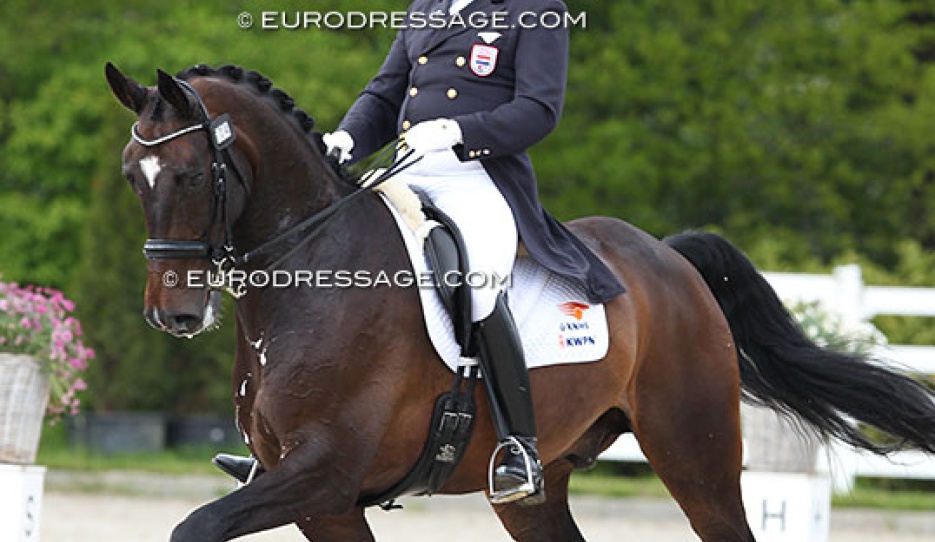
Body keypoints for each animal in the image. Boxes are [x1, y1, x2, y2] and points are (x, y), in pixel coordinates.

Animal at [104, 61, 935, 540]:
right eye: (130, 176)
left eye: (188, 175)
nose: (174, 314)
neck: (313, 276)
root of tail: (667, 257)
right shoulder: (321, 500)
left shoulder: (325, 473)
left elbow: (192, 528)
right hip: (535, 488)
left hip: (693, 454)